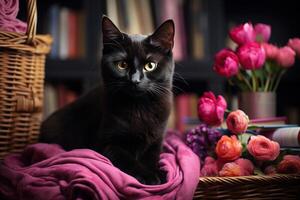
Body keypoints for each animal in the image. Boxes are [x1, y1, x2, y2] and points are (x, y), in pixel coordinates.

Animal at [40, 16, 176, 184]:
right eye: (122, 65)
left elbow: (151, 158)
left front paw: (158, 172)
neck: (139, 108)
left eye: (150, 65)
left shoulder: (156, 141)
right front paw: (149, 176)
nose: (135, 80)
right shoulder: (107, 144)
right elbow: (127, 159)